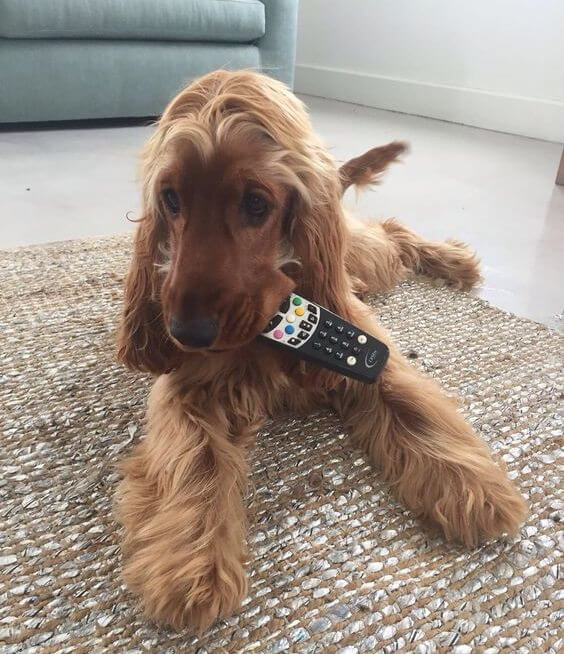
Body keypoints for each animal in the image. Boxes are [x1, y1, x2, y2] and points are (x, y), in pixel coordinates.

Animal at [115, 69, 528, 632]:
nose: (186, 331)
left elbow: (413, 406)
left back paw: (451, 260)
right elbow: (193, 460)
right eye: (171, 200)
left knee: (390, 232)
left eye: (256, 204)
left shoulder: (366, 347)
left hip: (365, 258)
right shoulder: (186, 387)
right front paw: (192, 568)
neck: (275, 319)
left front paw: (471, 485)